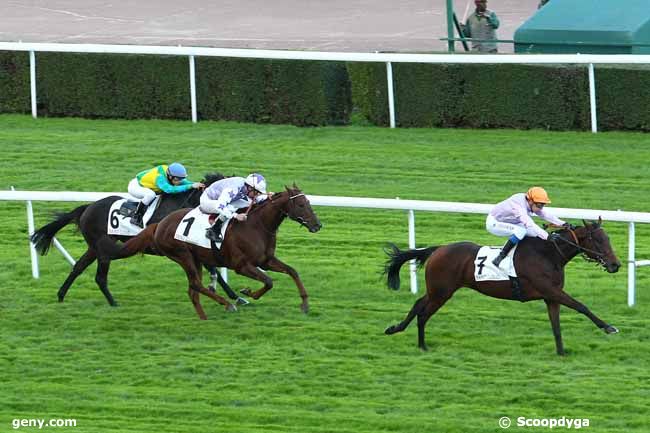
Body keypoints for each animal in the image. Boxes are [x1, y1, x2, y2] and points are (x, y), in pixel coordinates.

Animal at [31, 170, 227, 306]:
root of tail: (88, 207)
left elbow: (215, 269)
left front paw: (230, 295)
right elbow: (213, 269)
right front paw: (230, 296)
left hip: (94, 247)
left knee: (78, 267)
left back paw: (61, 295)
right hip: (103, 247)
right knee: (99, 277)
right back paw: (113, 302)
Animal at [112, 184, 322, 318]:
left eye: (308, 202)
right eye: (301, 204)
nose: (317, 225)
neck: (256, 225)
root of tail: (159, 224)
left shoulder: (266, 260)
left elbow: (292, 272)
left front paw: (304, 304)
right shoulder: (242, 265)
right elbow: (269, 281)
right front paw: (247, 292)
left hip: (195, 258)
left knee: (193, 290)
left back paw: (204, 317)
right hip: (183, 256)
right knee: (195, 285)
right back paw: (228, 304)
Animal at [382, 218, 620, 356]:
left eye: (608, 238)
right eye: (598, 240)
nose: (615, 264)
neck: (548, 254)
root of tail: (438, 249)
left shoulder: (551, 296)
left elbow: (556, 325)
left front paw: (561, 352)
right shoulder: (550, 290)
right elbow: (581, 306)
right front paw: (609, 327)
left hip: (437, 290)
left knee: (418, 304)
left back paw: (396, 329)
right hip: (442, 292)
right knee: (423, 313)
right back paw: (422, 345)